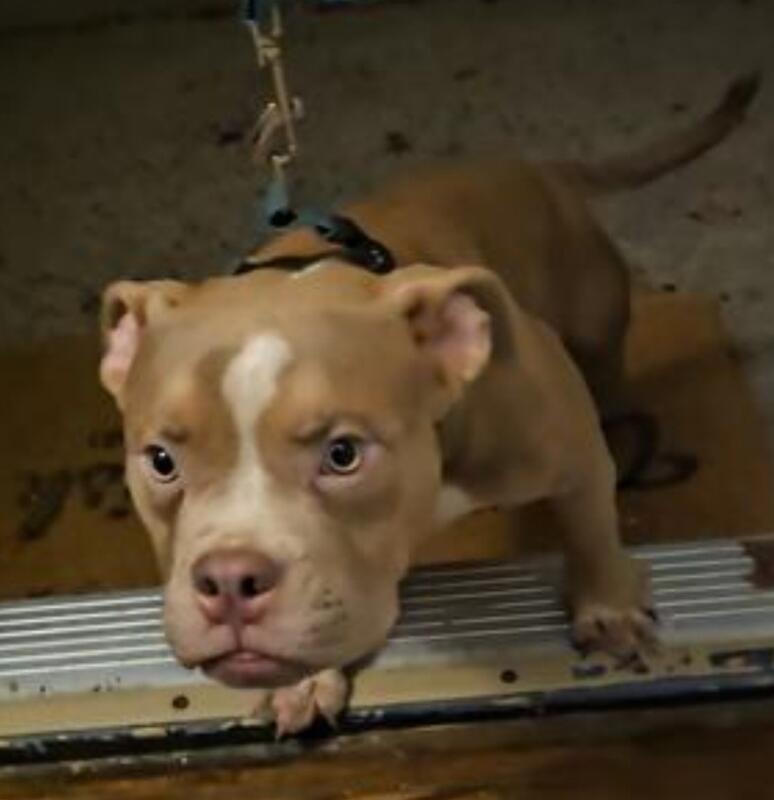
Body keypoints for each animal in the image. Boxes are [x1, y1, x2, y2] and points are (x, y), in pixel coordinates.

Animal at [98, 73, 759, 734]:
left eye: (343, 454)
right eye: (160, 461)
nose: (229, 579)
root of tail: (541, 169)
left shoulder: (569, 443)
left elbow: (590, 524)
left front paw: (610, 609)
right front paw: (304, 680)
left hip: (595, 333)